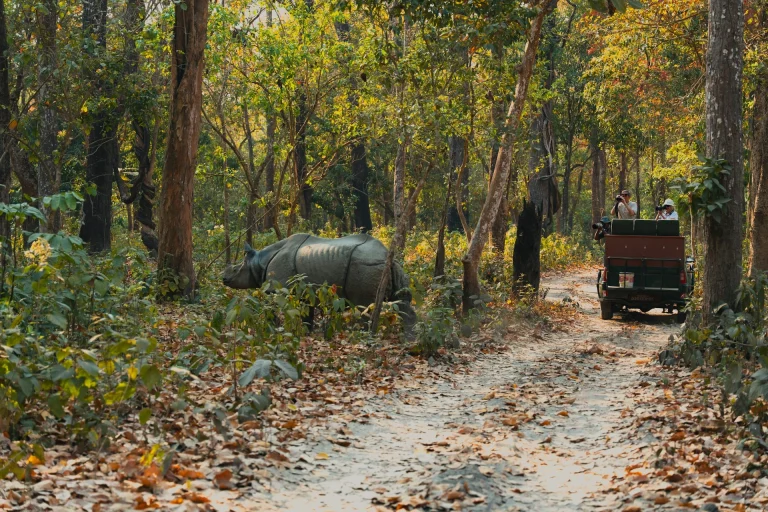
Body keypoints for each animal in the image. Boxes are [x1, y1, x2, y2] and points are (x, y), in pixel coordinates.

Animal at [222, 233, 416, 329]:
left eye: (236, 270)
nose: (223, 278)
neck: (258, 263)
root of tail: (387, 257)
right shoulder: (304, 292)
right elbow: (307, 314)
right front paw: (307, 332)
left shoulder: (277, 289)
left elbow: (273, 310)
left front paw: (272, 330)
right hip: (389, 268)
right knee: (401, 304)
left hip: (365, 265)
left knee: (364, 306)